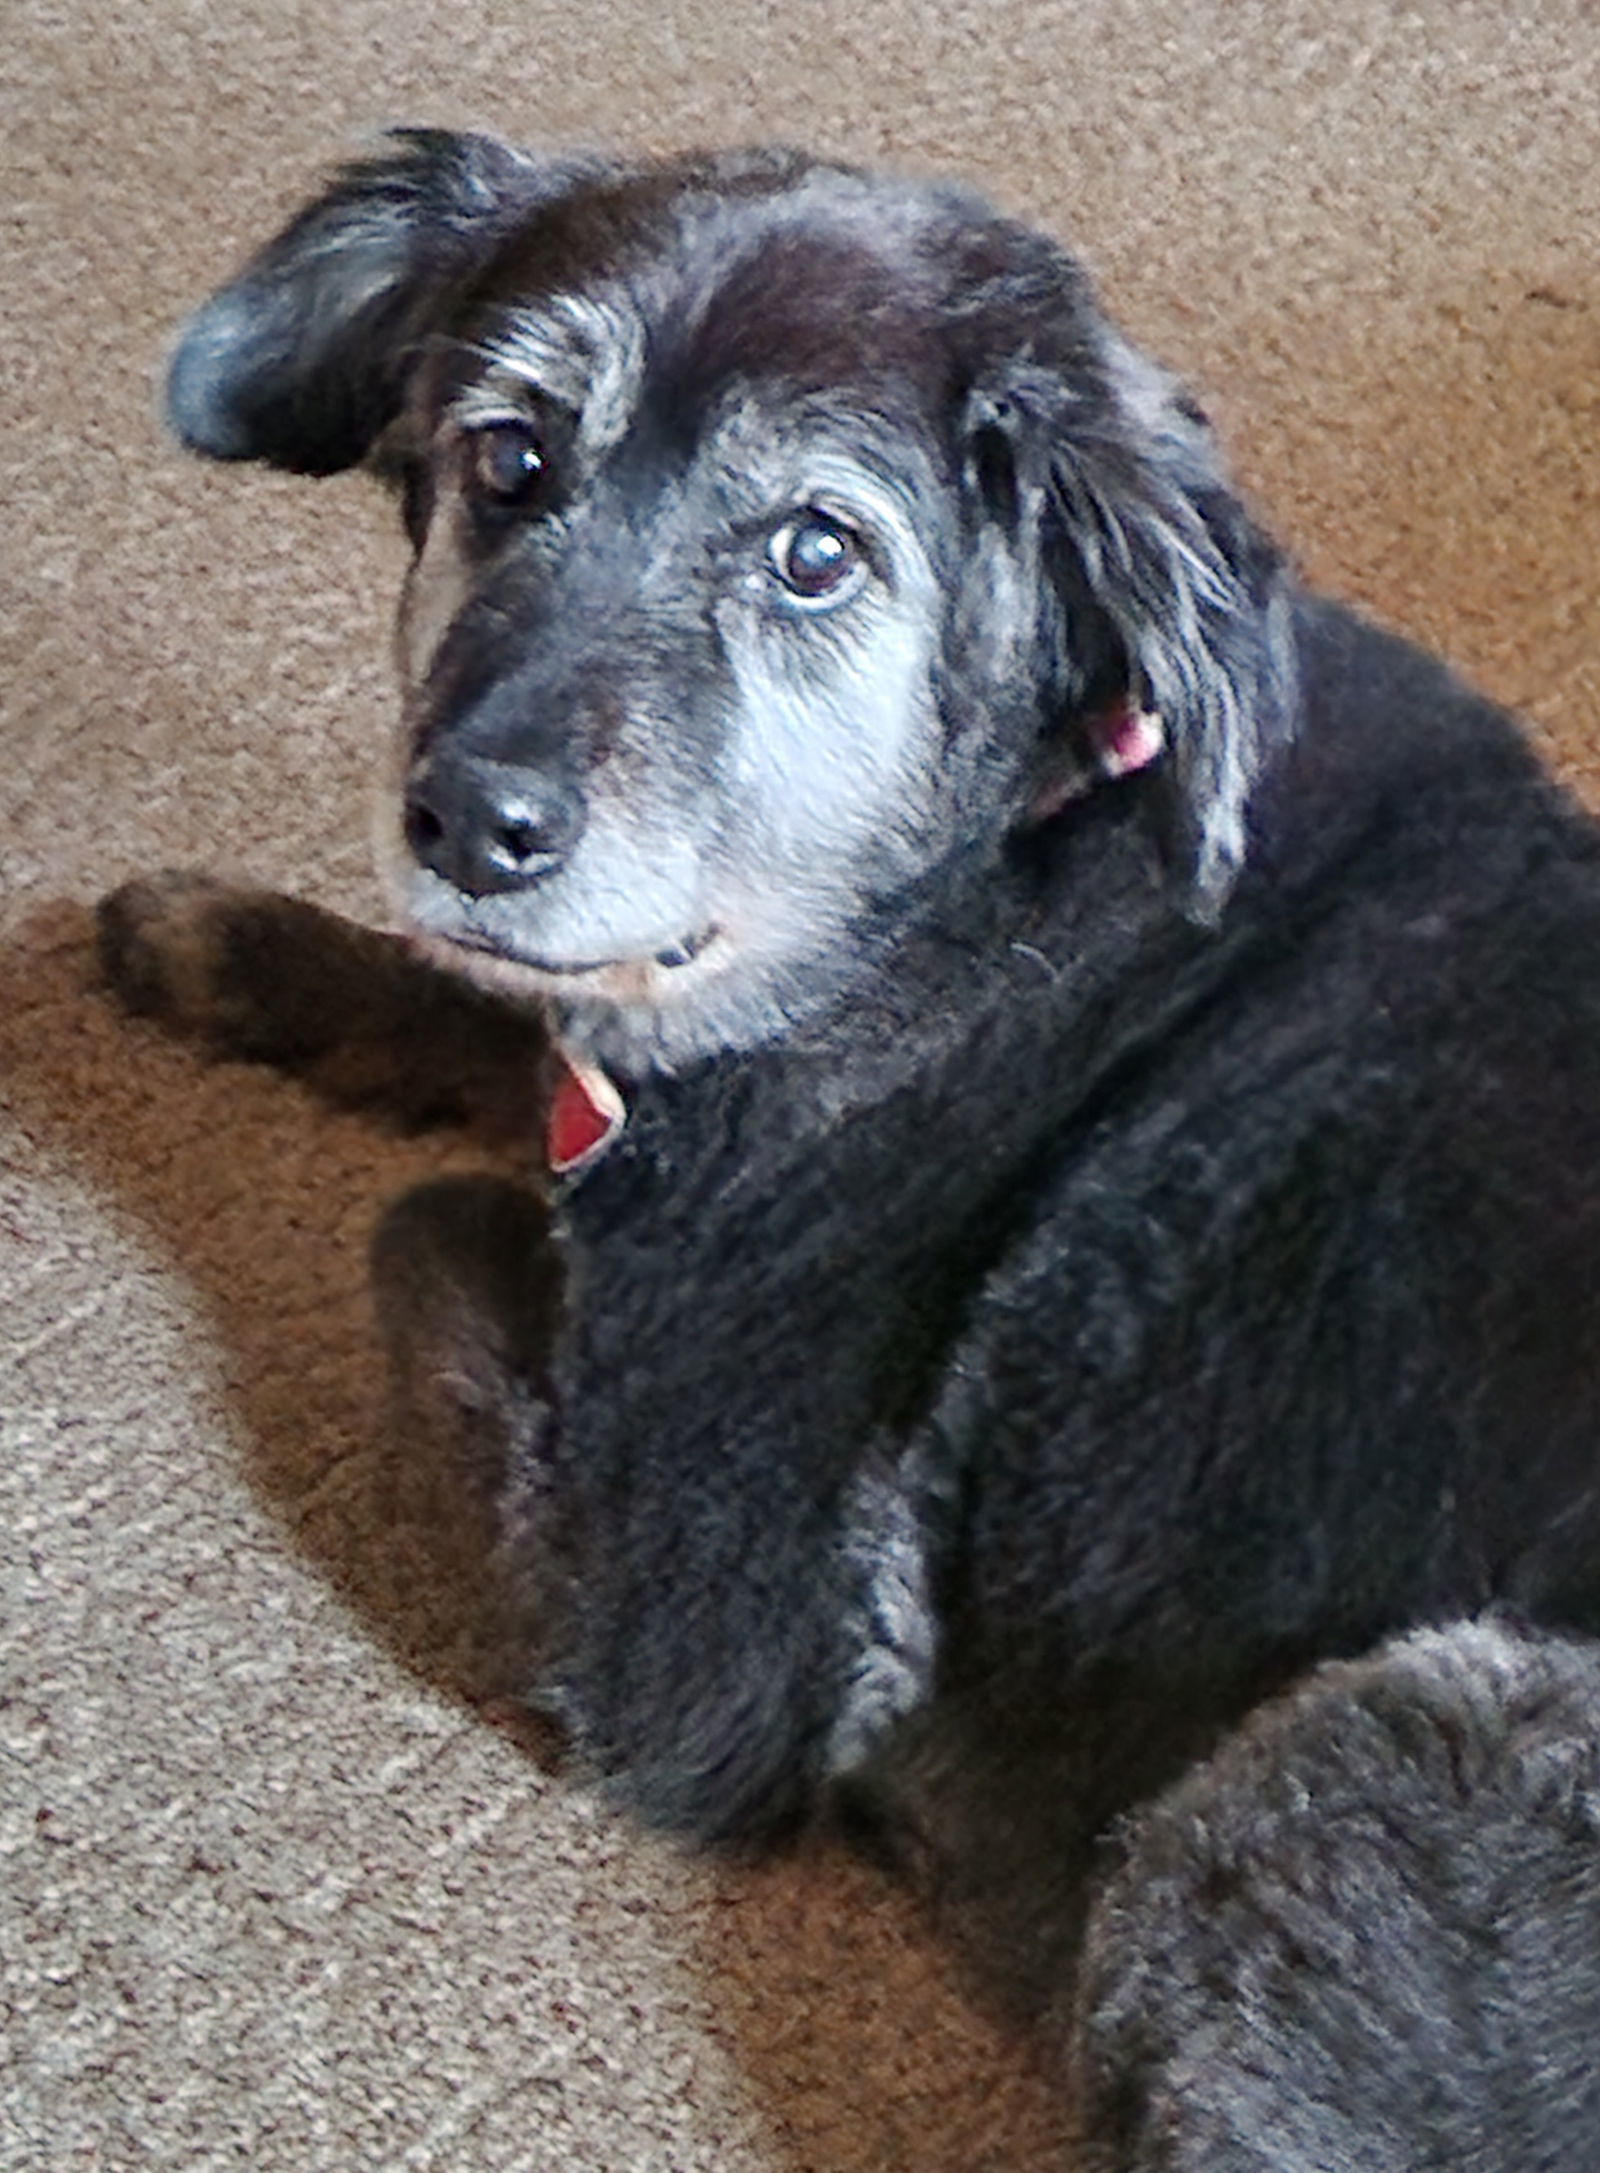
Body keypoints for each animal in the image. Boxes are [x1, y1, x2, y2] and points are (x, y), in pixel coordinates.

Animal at [96, 131, 1600, 2155]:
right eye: (511, 458)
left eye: (815, 552)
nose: (471, 821)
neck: (995, 846)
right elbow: (509, 1038)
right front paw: (225, 940)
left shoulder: (683, 1645)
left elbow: (433, 1224)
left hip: (1363, 1736)